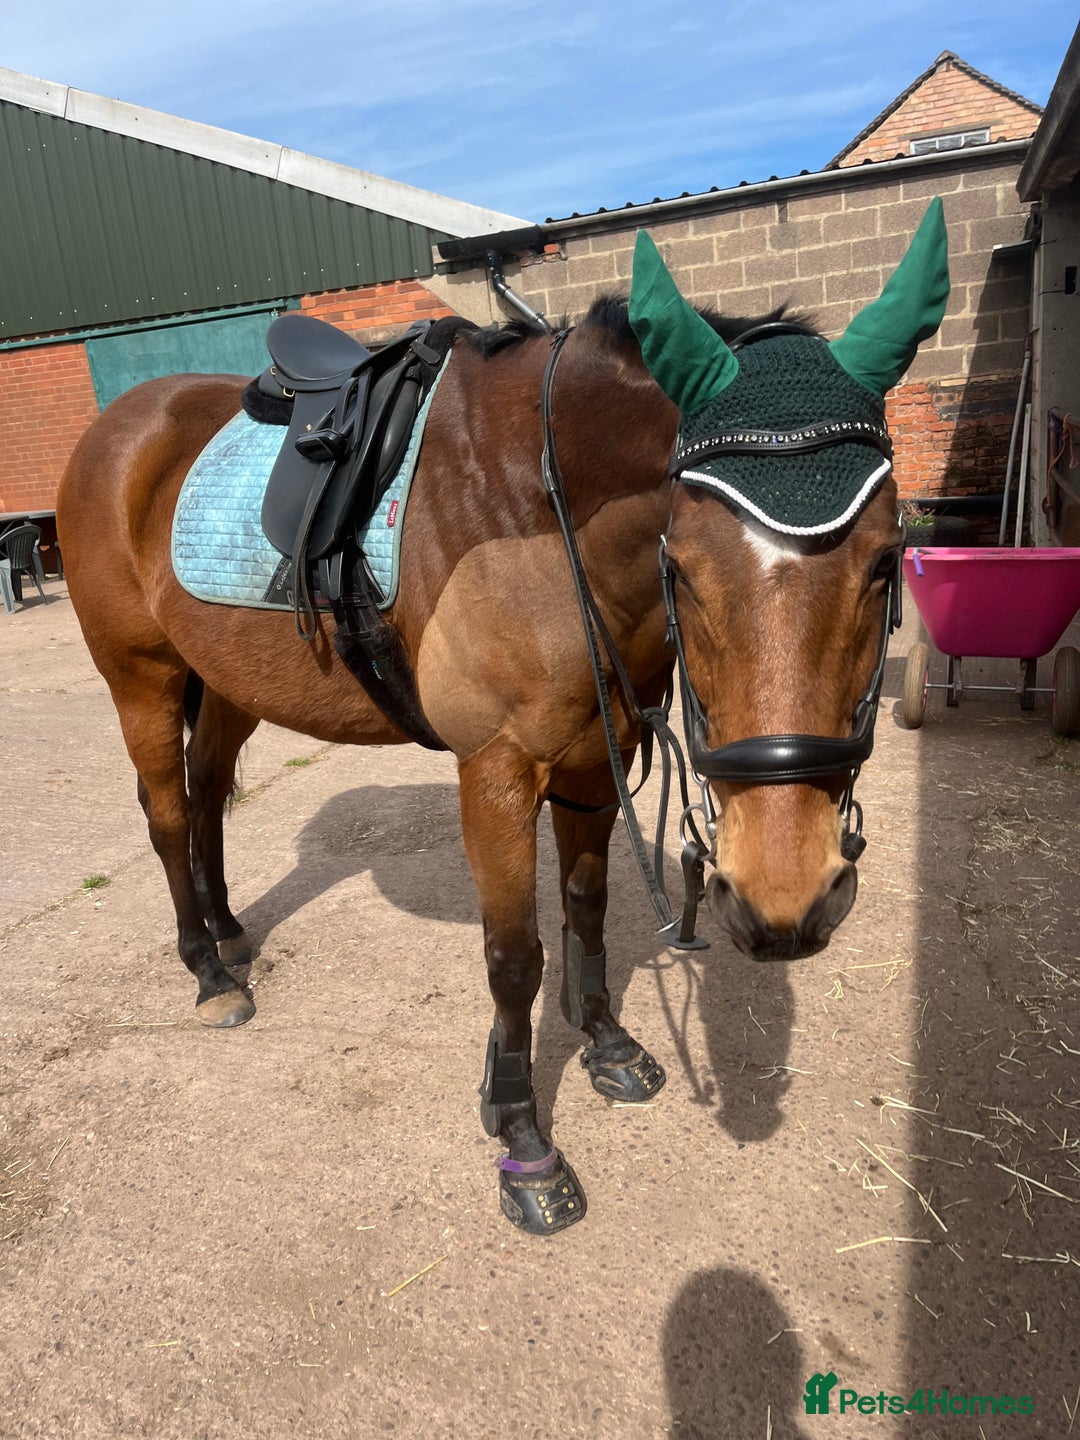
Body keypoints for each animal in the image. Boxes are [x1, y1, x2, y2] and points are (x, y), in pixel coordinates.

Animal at [57, 201, 949, 1233]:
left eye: (885, 563)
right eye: (681, 566)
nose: (786, 898)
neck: (538, 505)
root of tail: (119, 425)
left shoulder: (600, 756)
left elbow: (586, 909)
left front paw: (606, 1043)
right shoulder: (495, 771)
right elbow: (514, 955)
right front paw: (523, 1139)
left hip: (232, 683)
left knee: (205, 798)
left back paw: (234, 930)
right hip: (143, 677)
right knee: (166, 814)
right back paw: (207, 973)